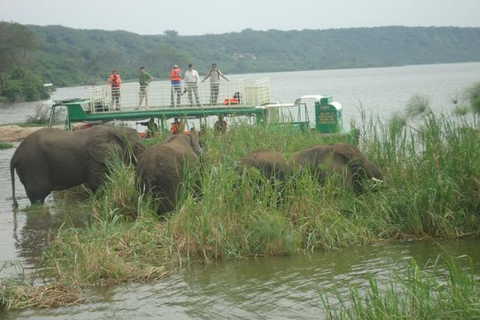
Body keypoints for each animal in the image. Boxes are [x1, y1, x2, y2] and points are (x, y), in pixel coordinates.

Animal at [9, 124, 144, 206]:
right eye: (137, 146)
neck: (117, 129)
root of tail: (14, 156)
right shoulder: (95, 160)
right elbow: (98, 183)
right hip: (33, 165)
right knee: (38, 195)